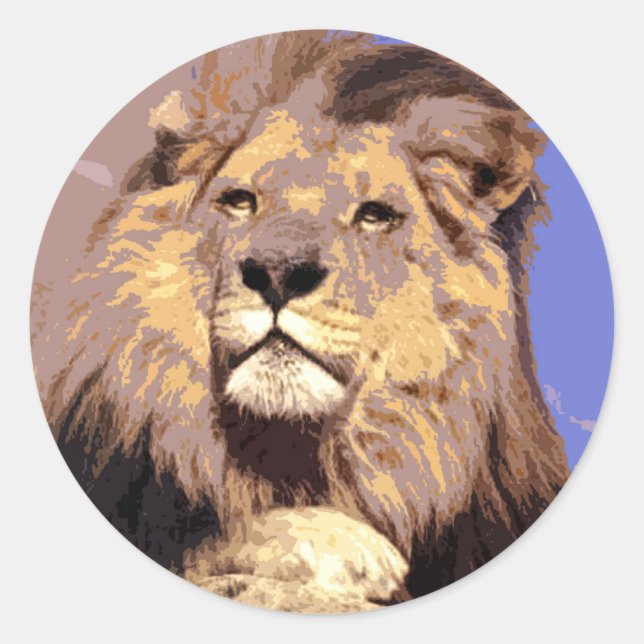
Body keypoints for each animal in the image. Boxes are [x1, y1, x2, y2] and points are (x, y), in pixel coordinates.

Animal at [31, 31, 570, 611]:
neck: (295, 453)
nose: (277, 273)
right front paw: (338, 543)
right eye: (240, 201)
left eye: (375, 215)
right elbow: (211, 535)